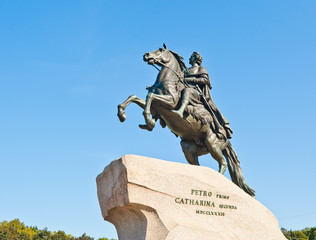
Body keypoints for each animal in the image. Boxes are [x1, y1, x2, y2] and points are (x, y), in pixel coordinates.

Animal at [116, 44, 254, 196]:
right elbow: (134, 97)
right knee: (198, 165)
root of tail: (227, 139)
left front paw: (149, 122)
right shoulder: (155, 107)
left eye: (160, 50)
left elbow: (149, 97)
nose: (146, 55)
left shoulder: (169, 102)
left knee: (223, 163)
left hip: (212, 144)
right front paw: (122, 114)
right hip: (190, 149)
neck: (166, 81)